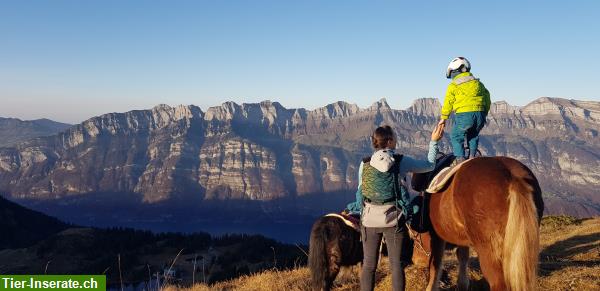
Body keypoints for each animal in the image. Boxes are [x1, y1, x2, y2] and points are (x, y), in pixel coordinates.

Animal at [424, 157, 548, 291]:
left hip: (488, 249)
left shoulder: (436, 236)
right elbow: (462, 256)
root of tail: (512, 176)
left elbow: (436, 264)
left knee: (498, 283)